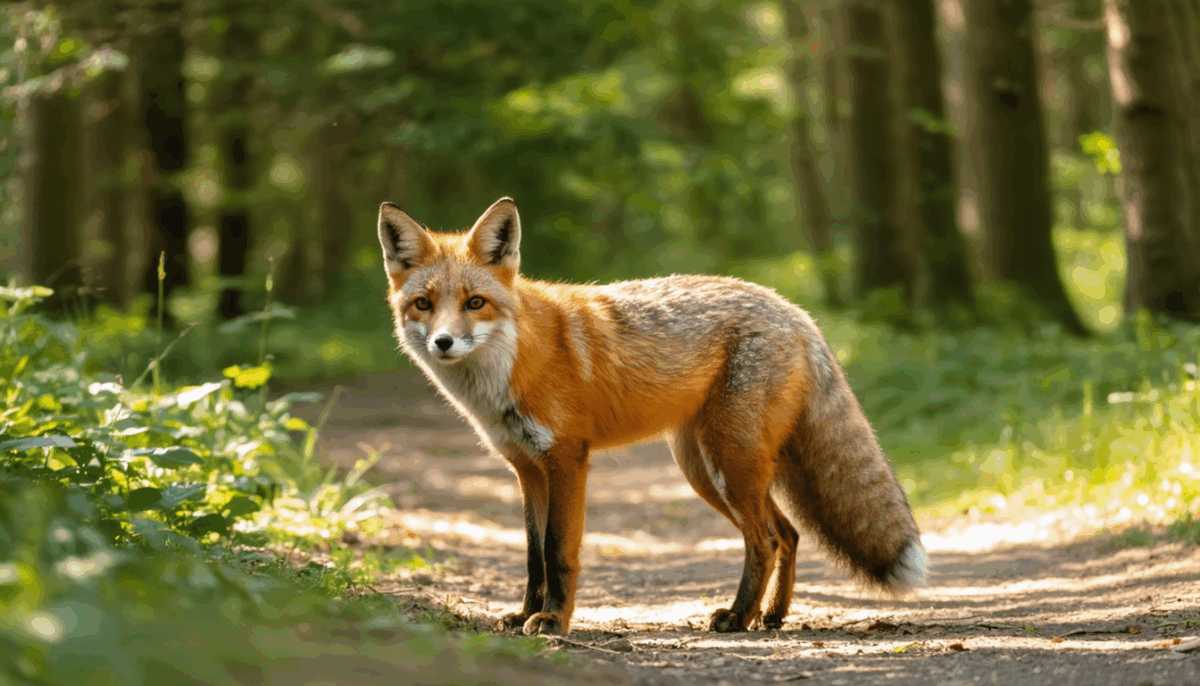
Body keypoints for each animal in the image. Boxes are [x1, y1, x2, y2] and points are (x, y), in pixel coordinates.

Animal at [376, 197, 927, 636]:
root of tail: (793, 310)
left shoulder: (566, 460)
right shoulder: (527, 469)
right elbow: (533, 556)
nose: (443, 342)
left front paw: (554, 621)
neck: (513, 363)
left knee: (766, 539)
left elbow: (559, 552)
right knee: (788, 534)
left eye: (475, 303)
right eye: (423, 304)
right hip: (706, 469)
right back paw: (771, 616)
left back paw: (738, 616)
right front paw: (525, 613)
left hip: (728, 462)